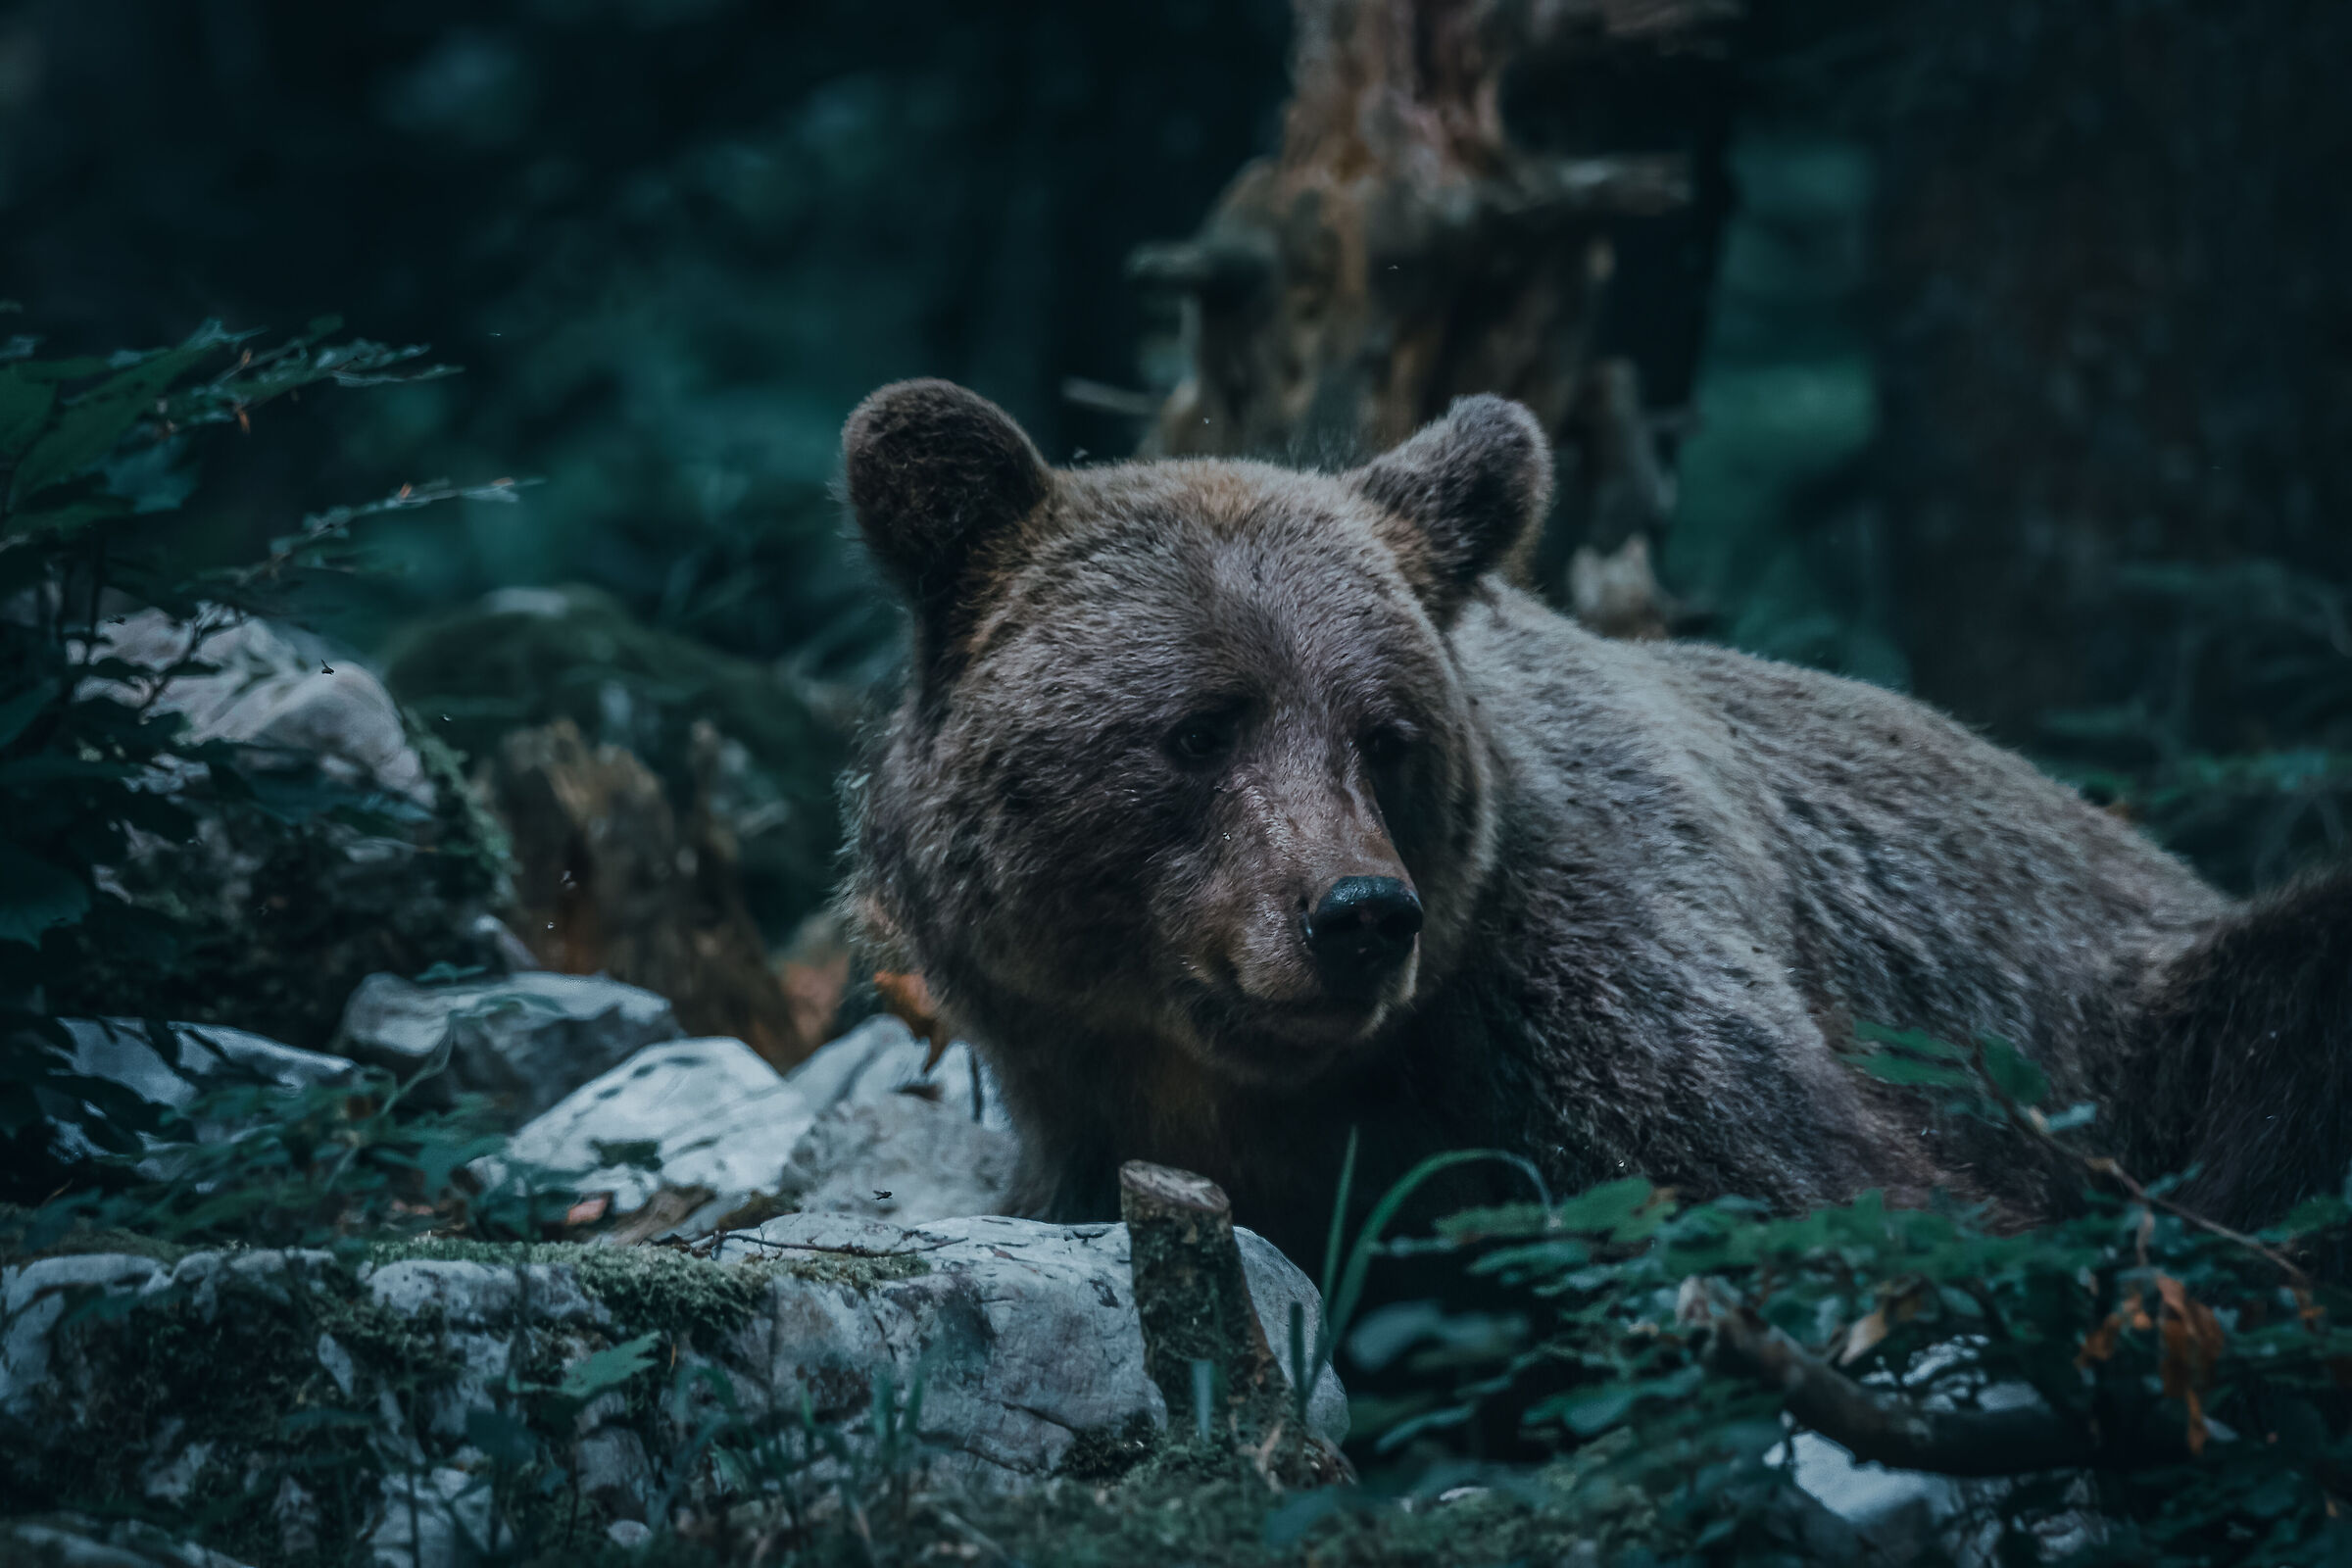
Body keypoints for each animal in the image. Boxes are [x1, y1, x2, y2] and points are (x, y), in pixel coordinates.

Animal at [840, 378, 2352, 1268]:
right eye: (1202, 727)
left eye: (1384, 736)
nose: (1357, 915)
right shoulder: (1084, 1117)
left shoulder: (1602, 987)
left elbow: (1840, 1197)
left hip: (2140, 1025)